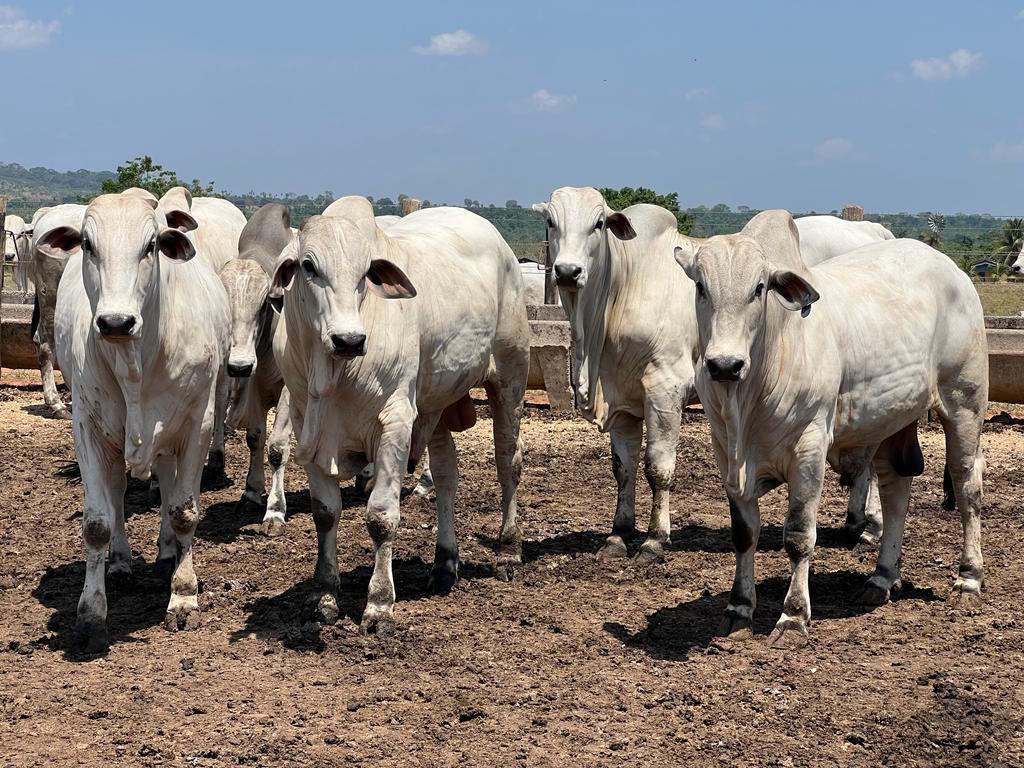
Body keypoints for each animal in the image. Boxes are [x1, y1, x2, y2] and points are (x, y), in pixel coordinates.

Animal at [49, 192, 230, 651]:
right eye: (88, 245)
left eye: (150, 246)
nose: (116, 321)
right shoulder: (88, 428)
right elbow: (97, 522)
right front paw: (91, 614)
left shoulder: (198, 424)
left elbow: (183, 510)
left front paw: (183, 595)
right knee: (116, 497)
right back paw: (120, 563)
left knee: (167, 485)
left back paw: (167, 553)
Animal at [272, 198, 528, 638]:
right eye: (308, 266)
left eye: (365, 273)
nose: (349, 340)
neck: (333, 373)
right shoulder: (311, 431)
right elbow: (325, 513)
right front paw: (324, 596)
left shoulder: (395, 422)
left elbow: (380, 517)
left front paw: (378, 604)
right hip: (434, 403)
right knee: (446, 472)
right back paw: (444, 563)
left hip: (509, 377)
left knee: (507, 462)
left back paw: (508, 550)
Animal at [675, 208, 987, 643]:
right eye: (701, 286)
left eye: (759, 288)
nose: (724, 364)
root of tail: (952, 269)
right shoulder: (726, 452)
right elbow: (744, 534)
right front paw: (738, 608)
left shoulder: (810, 448)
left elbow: (798, 536)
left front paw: (793, 616)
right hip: (890, 418)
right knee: (896, 490)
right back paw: (881, 578)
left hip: (964, 403)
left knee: (966, 484)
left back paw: (968, 578)